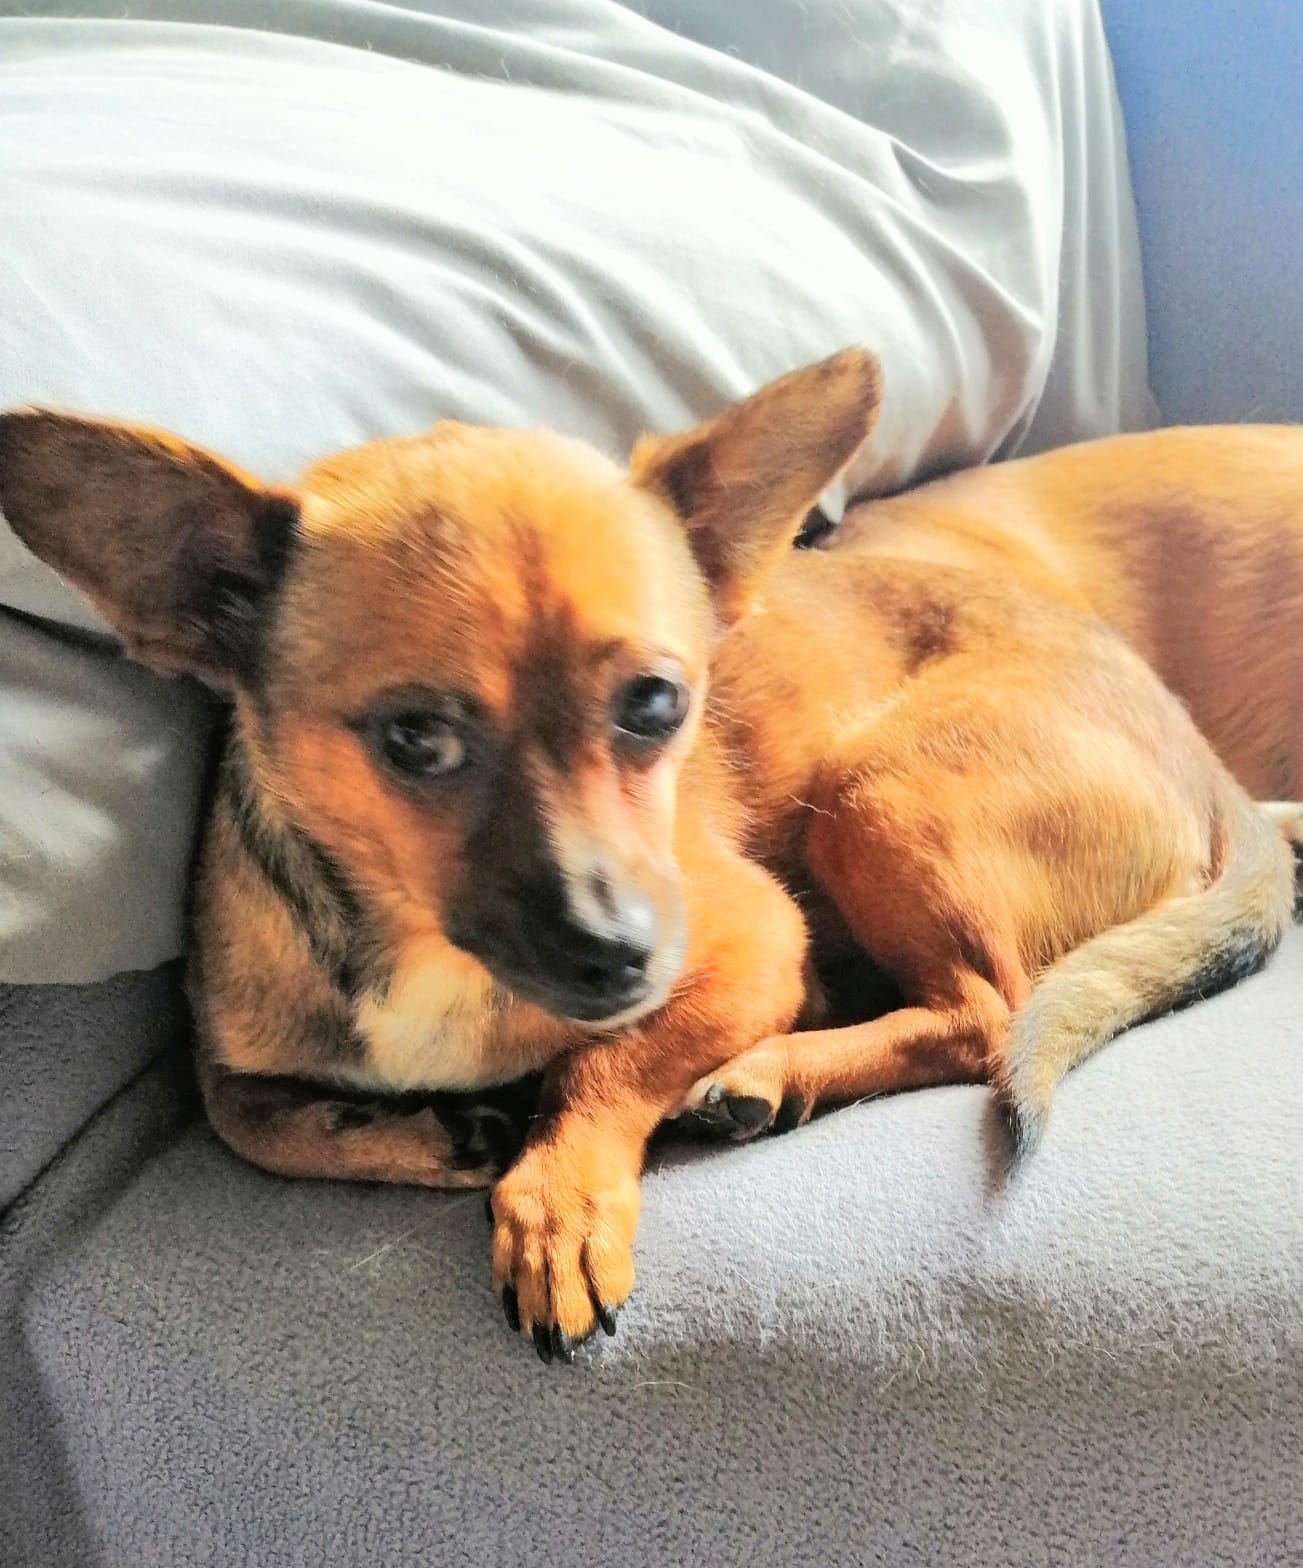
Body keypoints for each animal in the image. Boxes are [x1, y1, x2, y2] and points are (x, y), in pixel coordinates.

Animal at [1, 351, 1298, 1365]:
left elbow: (603, 1067)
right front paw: (441, 1135)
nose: (623, 957)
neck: (437, 957)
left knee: (985, 1009)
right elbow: (244, 1117)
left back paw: (771, 1070)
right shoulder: (228, 1048)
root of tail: (1211, 768)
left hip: (873, 790)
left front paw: (559, 1195)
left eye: (655, 703)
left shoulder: (757, 946)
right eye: (415, 738)